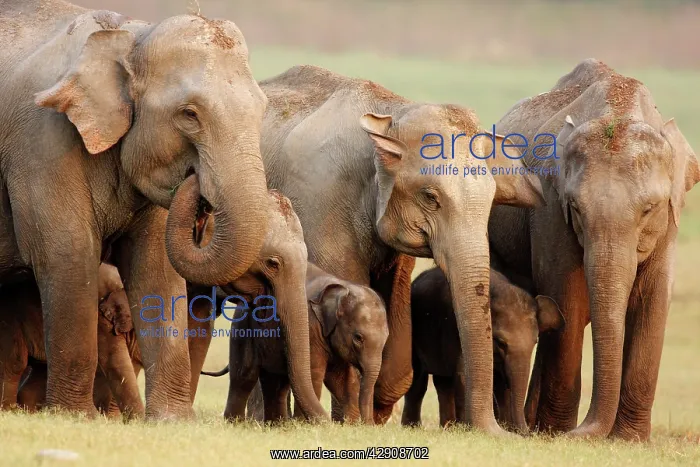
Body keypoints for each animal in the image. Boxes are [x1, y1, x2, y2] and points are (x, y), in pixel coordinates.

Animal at [258, 65, 545, 432]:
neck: (392, 113)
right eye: (430, 197)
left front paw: (376, 413)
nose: (497, 432)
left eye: (492, 200)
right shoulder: (320, 203)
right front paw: (354, 421)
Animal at [401, 267, 564, 431]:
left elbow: (500, 382)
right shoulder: (458, 333)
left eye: (535, 341)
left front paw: (505, 427)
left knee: (443, 382)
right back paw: (412, 427)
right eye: (501, 342)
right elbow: (464, 374)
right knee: (418, 380)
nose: (526, 433)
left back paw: (447, 427)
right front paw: (467, 428)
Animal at [487, 59, 700, 440]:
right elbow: (565, 296)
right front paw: (557, 432)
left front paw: (629, 440)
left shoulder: (671, 220)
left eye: (649, 209)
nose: (581, 432)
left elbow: (654, 297)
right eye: (575, 207)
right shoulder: (549, 207)